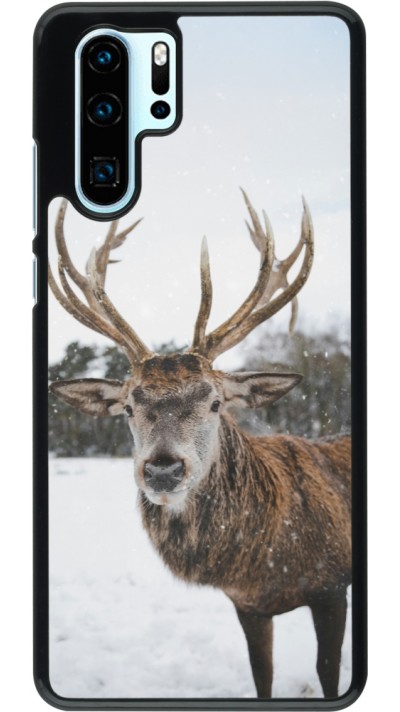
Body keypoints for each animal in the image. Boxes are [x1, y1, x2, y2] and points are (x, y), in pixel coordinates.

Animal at [48, 191, 351, 699]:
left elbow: (328, 672)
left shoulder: (332, 587)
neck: (266, 562)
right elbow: (262, 676)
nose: (162, 469)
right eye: (128, 407)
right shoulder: (247, 605)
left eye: (214, 402)